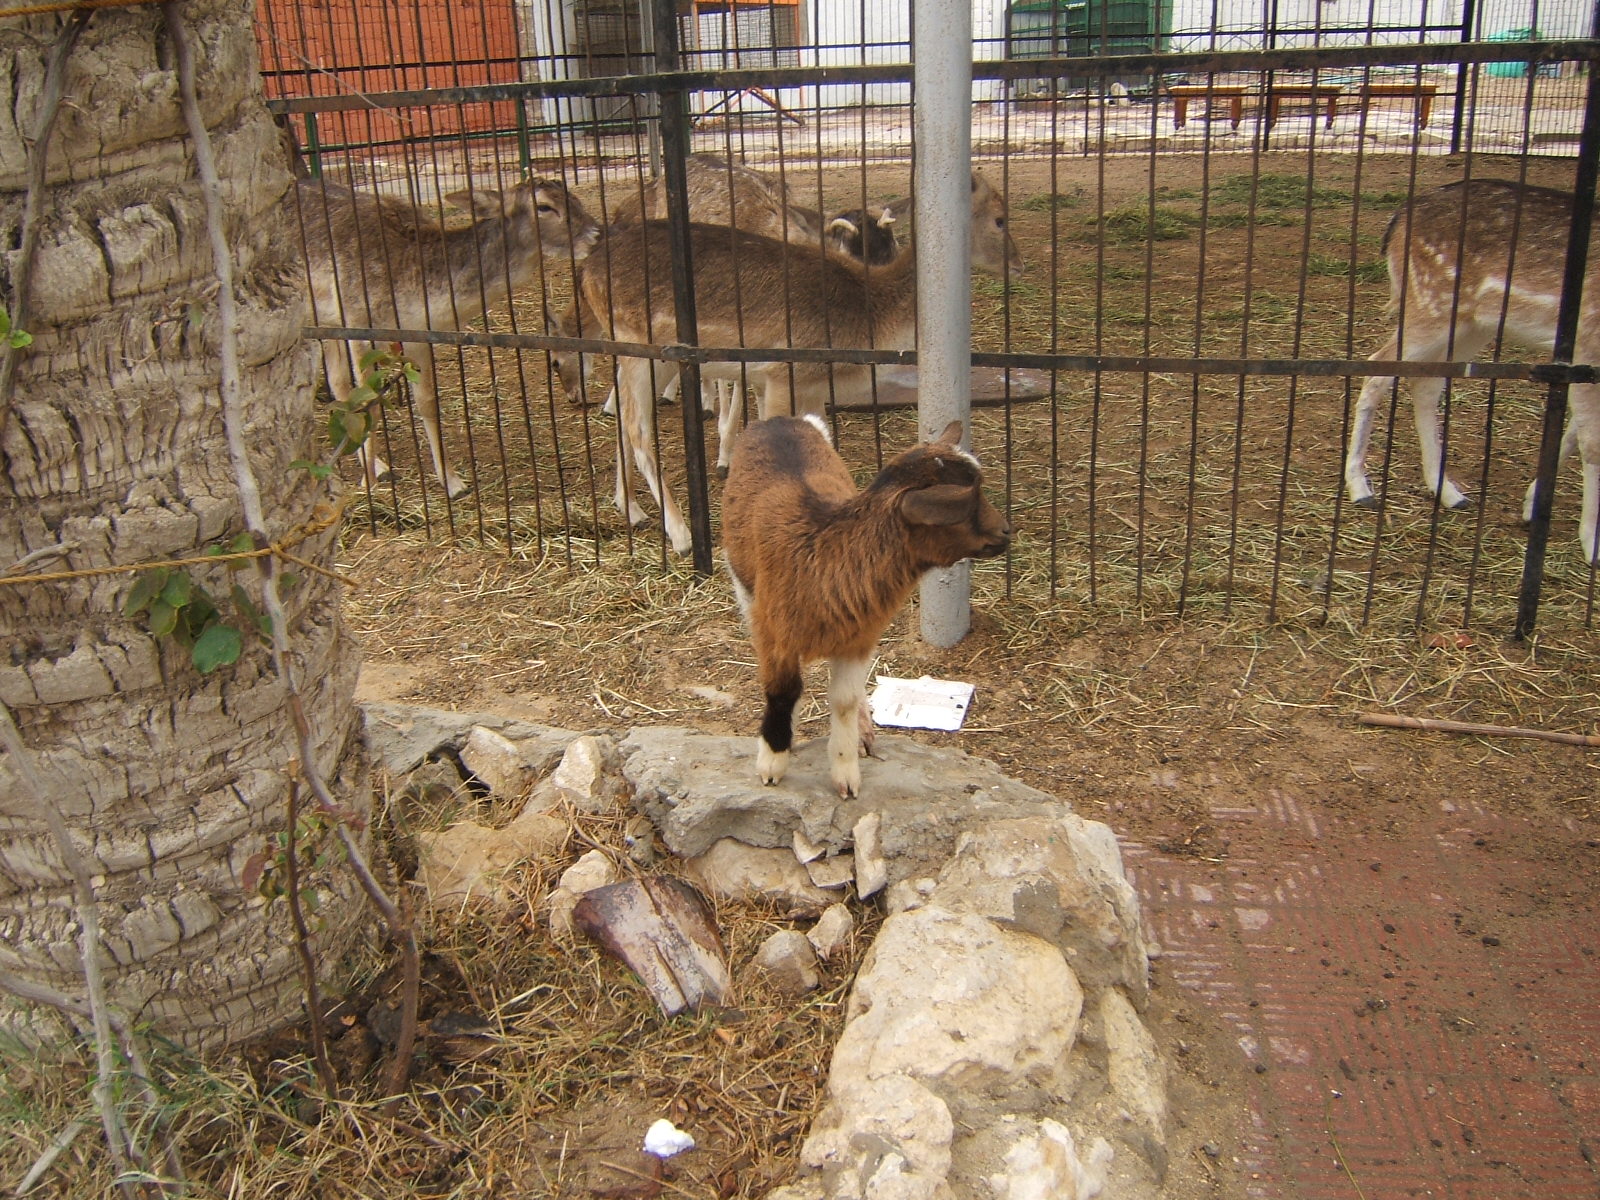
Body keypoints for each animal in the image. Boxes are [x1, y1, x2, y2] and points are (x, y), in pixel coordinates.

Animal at [298, 176, 599, 498]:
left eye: (574, 197)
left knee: (337, 383)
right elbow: (371, 404)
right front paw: (367, 483)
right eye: (544, 206)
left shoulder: (418, 335)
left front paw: (454, 483)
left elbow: (428, 402)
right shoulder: (357, 324)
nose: (596, 235)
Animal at [577, 169, 1024, 553]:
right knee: (637, 427)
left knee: (623, 414)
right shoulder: (780, 375)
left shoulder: (811, 386)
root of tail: (587, 268)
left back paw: (630, 508)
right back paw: (681, 534)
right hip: (638, 344)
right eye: (1000, 219)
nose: (1018, 263)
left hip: (651, 356)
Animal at [722, 415, 1011, 798]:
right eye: (963, 506)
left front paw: (846, 773)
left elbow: (844, 699)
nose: (1005, 532)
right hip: (744, 587)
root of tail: (779, 419)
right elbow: (782, 691)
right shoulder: (773, 631)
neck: (823, 550)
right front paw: (772, 762)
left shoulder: (858, 637)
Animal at [1346, 178, 1598, 563]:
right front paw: (1592, 544)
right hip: (1431, 301)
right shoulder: (1587, 341)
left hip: (1472, 323)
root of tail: (1399, 217)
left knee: (1425, 381)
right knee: (1378, 367)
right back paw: (1360, 487)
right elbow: (1592, 442)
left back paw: (1448, 491)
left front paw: (1531, 506)